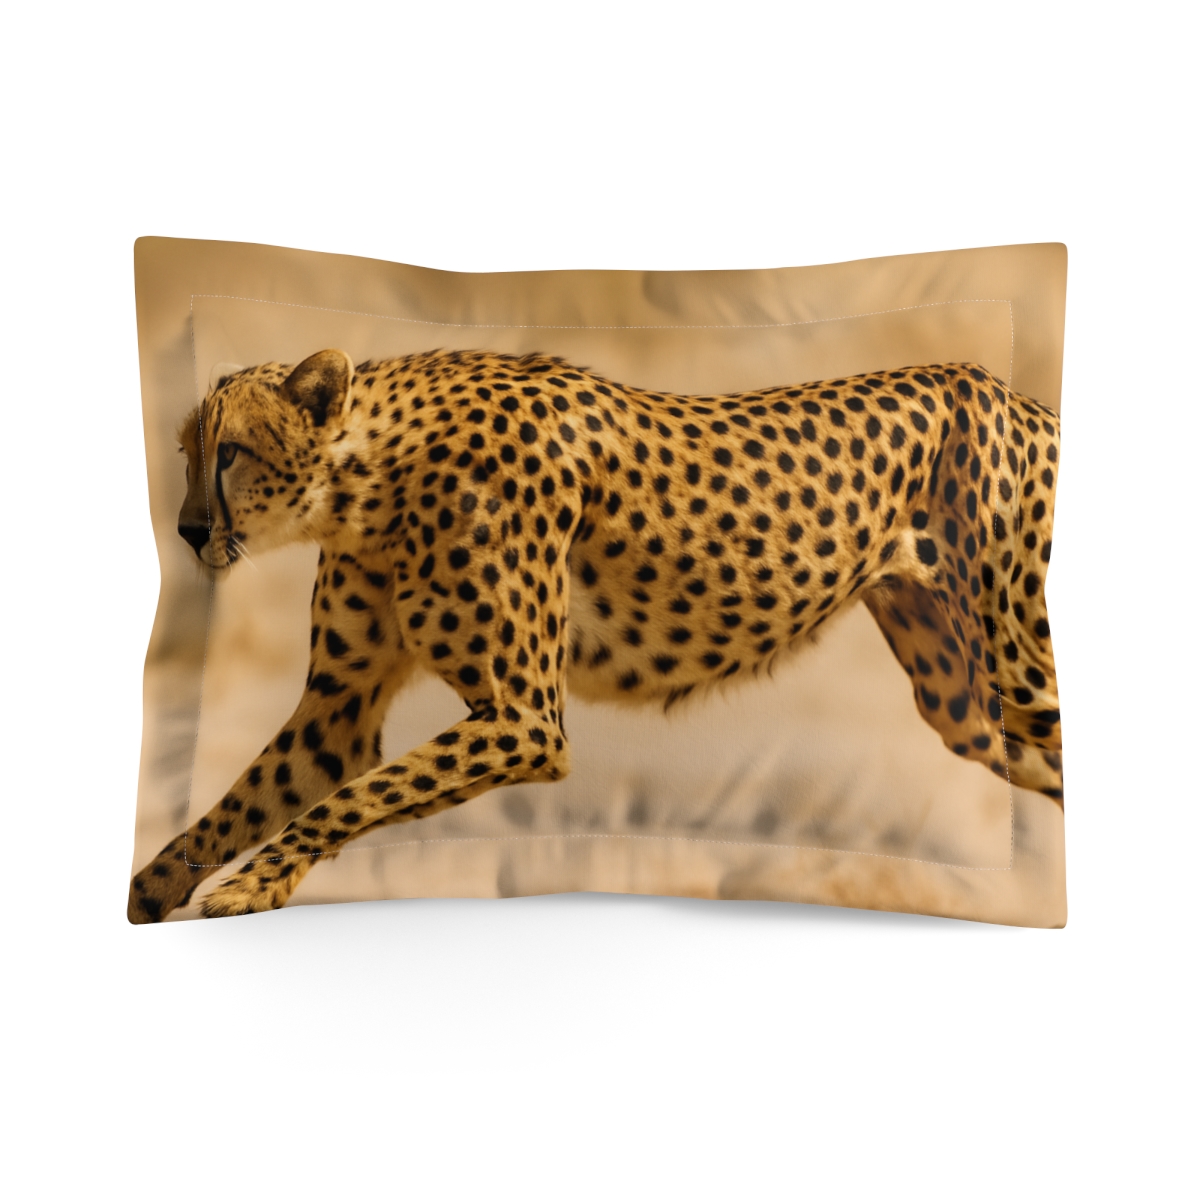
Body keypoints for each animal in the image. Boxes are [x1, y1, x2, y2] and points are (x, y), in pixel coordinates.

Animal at [128, 347, 1063, 922]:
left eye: (231, 452)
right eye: (184, 454)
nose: (185, 531)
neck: (365, 483)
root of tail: (1014, 393)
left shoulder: (525, 722)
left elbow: (351, 800)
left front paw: (249, 887)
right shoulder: (338, 713)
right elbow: (251, 801)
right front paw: (153, 891)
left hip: (1017, 668)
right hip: (962, 700)